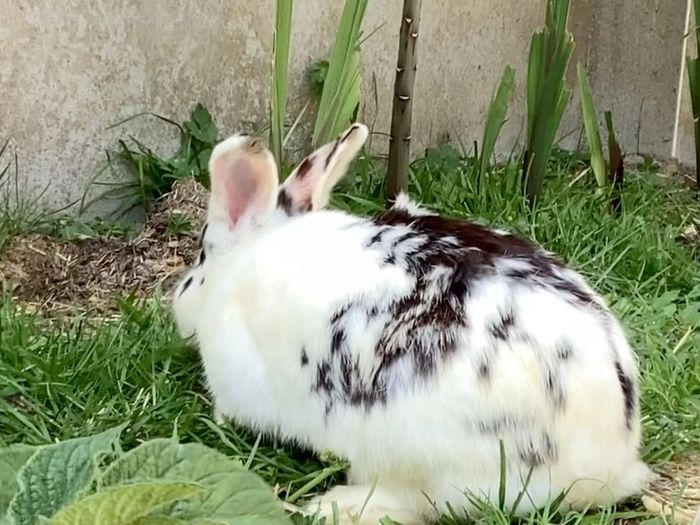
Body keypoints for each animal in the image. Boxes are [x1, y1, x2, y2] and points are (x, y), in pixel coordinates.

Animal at [171, 122, 654, 525]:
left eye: (198, 265)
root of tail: (608, 463)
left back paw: (334, 506)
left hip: (413, 455)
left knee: (415, 503)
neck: (239, 267)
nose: (177, 302)